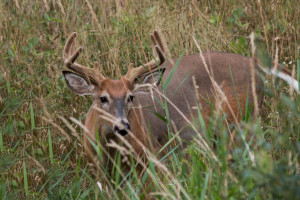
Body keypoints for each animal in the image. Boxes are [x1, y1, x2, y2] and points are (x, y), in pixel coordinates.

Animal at [62, 30, 298, 180]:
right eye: (102, 98)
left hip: (240, 120)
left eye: (130, 97)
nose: (122, 126)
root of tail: (254, 64)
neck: (110, 152)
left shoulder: (150, 156)